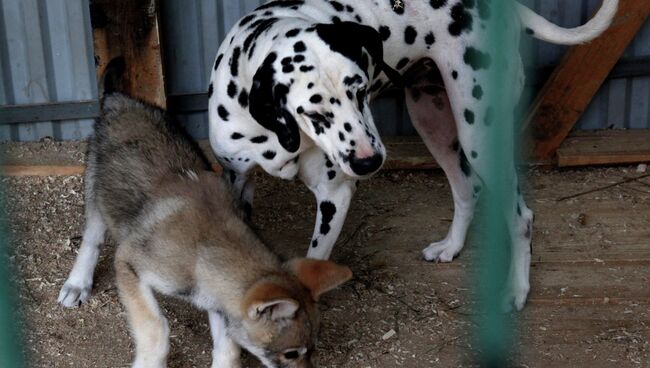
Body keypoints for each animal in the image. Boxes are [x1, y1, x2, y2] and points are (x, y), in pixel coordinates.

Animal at [205, 0, 616, 310]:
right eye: (314, 112)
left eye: (360, 90)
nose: (368, 162)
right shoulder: (236, 182)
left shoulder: (334, 195)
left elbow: (315, 261)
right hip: (432, 121)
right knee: (466, 188)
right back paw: (451, 247)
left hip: (479, 134)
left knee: (521, 217)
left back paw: (516, 290)